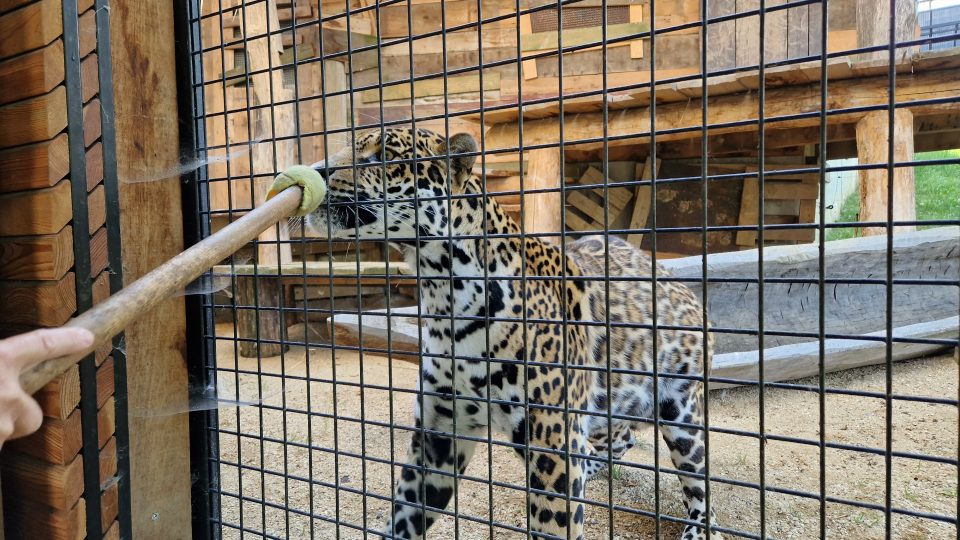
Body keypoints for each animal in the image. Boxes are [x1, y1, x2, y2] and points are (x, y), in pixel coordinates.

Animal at [304, 127, 716, 540]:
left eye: (381, 158)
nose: (316, 170)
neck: (445, 292)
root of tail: (680, 285)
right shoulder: (438, 435)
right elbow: (405, 517)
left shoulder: (551, 445)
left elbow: (554, 523)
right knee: (619, 437)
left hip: (682, 415)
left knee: (702, 490)